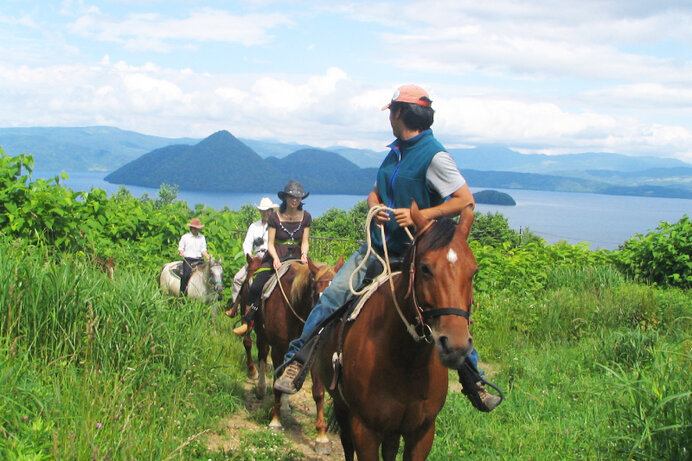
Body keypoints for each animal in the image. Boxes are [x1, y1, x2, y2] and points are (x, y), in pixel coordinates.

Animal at [254, 256, 344, 454]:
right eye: (318, 296)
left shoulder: (314, 352)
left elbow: (318, 392)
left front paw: (322, 437)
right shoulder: (278, 349)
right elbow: (276, 383)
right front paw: (275, 422)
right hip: (261, 334)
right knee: (262, 354)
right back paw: (261, 388)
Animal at [314, 204, 476, 460]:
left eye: (473, 271)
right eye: (425, 268)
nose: (456, 346)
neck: (405, 359)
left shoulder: (422, 431)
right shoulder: (365, 430)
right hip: (342, 406)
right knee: (346, 443)